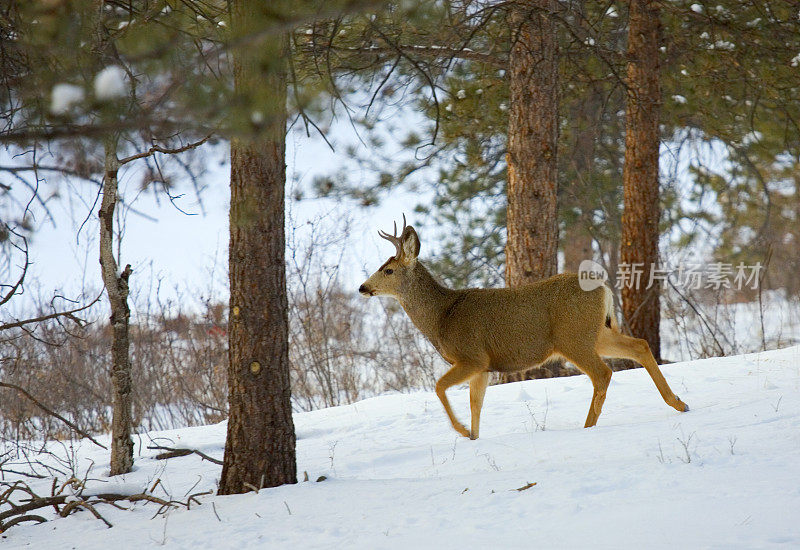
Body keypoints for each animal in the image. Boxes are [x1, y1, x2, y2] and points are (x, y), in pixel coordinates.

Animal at [360, 218, 692, 442]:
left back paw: (588, 426)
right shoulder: (484, 367)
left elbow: (439, 386)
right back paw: (679, 403)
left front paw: (462, 431)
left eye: (388, 270)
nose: (363, 287)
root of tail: (604, 288)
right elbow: (476, 404)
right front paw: (473, 437)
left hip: (573, 338)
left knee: (603, 373)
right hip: (596, 333)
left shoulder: (472, 356)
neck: (442, 316)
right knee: (640, 345)